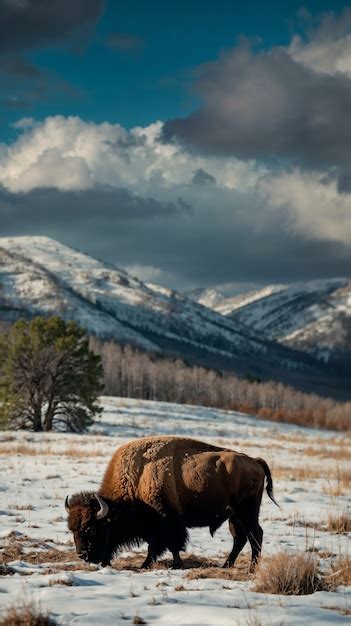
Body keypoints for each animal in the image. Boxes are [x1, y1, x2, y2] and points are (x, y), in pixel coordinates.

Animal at [64, 434, 278, 572]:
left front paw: (158, 565)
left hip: (247, 512)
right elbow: (163, 545)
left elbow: (166, 545)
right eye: (71, 529)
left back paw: (251, 569)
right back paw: (227, 565)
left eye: (92, 528)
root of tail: (255, 461)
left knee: (255, 534)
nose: (82, 554)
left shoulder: (166, 521)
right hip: (234, 516)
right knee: (239, 538)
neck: (137, 479)